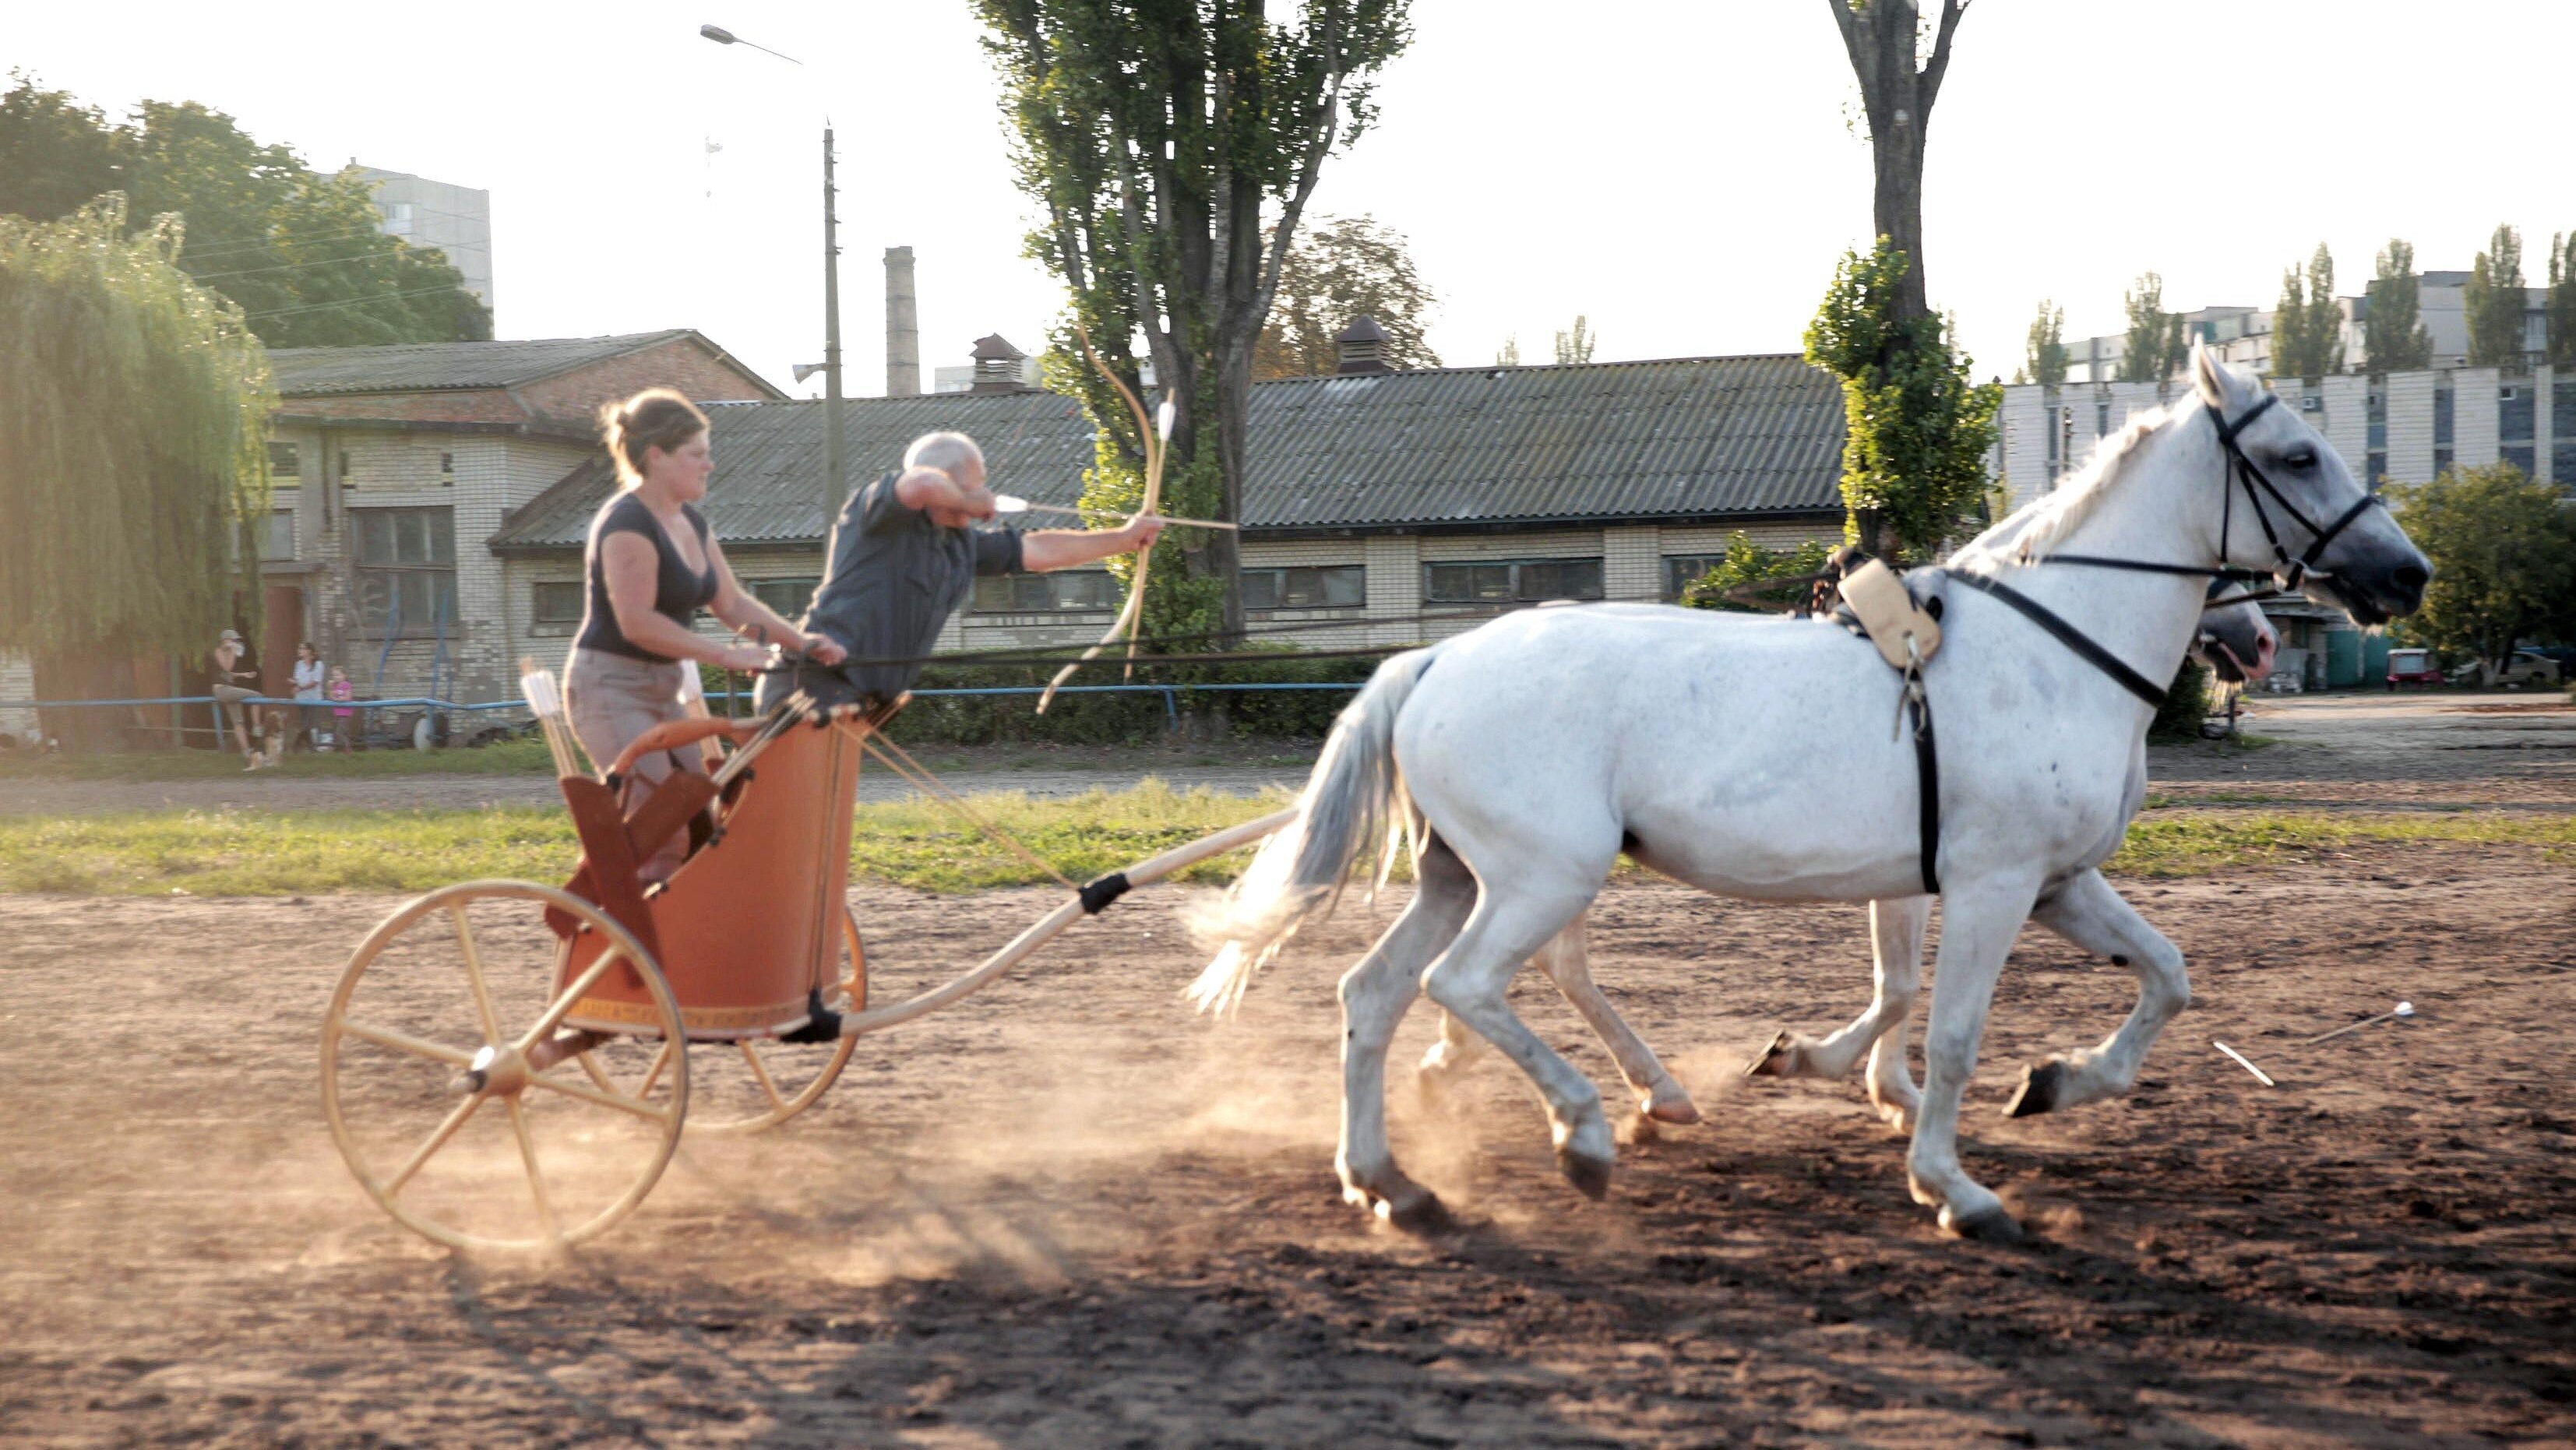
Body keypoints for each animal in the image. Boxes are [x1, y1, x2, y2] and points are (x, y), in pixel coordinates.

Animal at [1411, 594, 2277, 1138]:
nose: (2261, 638)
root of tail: (1439, 659)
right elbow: (1901, 988)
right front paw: (1811, 1061)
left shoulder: (1921, 879)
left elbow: (1900, 984)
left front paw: (1890, 1092)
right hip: (1557, 870)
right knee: (1511, 966)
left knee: (1544, 963)